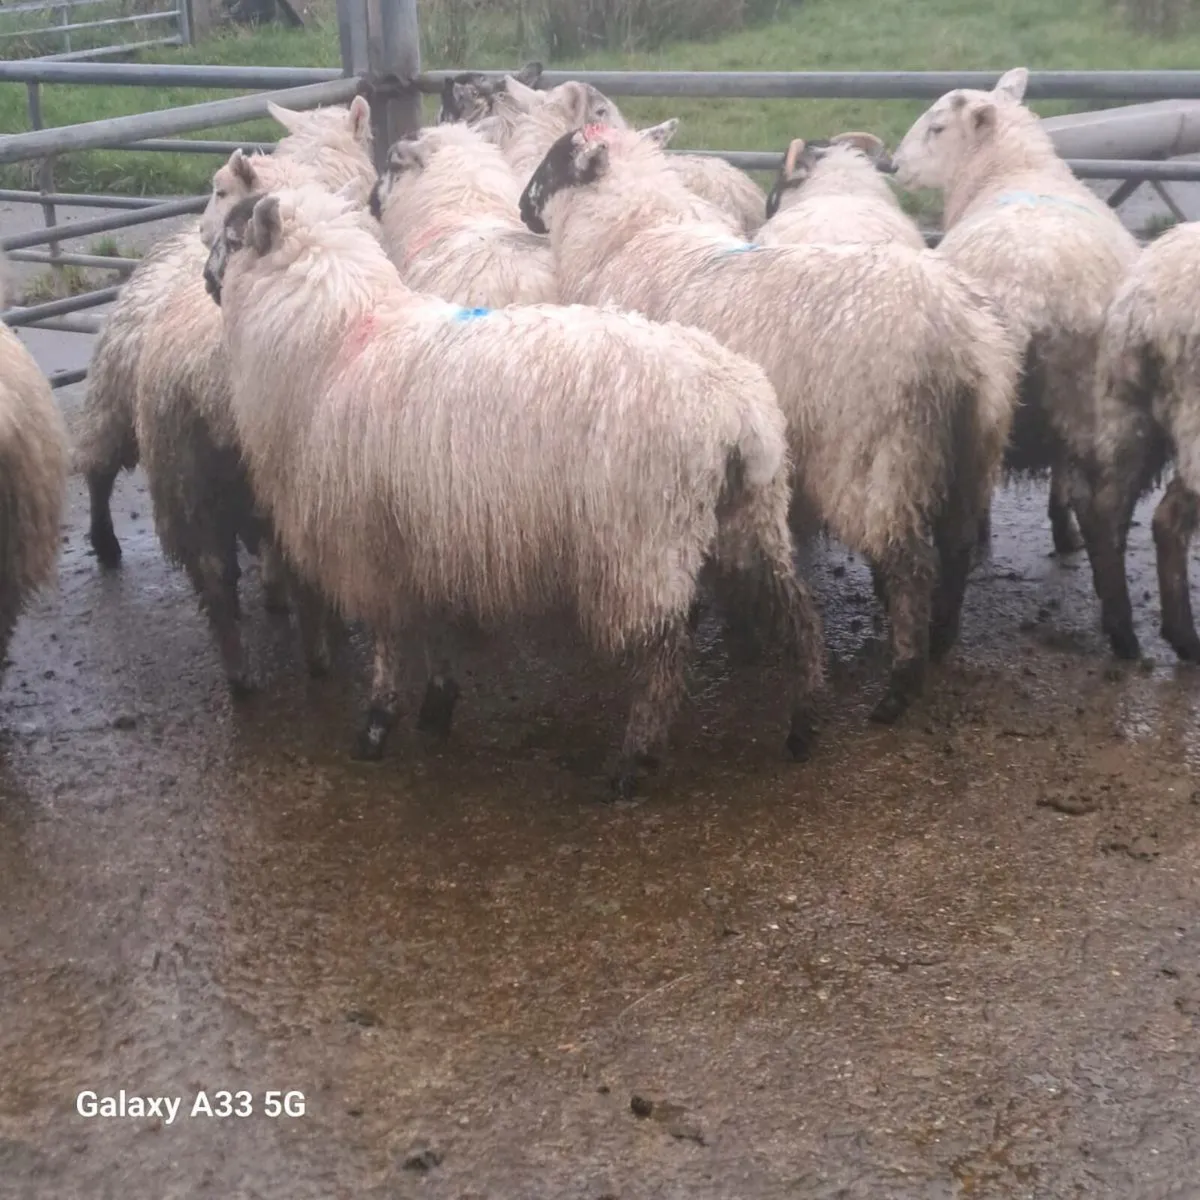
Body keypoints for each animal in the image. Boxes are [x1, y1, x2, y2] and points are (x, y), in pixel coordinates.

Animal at [202, 183, 828, 795]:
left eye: (231, 239)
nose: (207, 281)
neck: (334, 342)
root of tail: (739, 410)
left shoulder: (369, 545)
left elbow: (390, 639)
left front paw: (377, 725)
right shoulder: (422, 536)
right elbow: (433, 627)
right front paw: (437, 703)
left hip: (643, 545)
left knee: (664, 653)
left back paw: (634, 760)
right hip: (750, 517)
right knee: (795, 613)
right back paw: (803, 725)